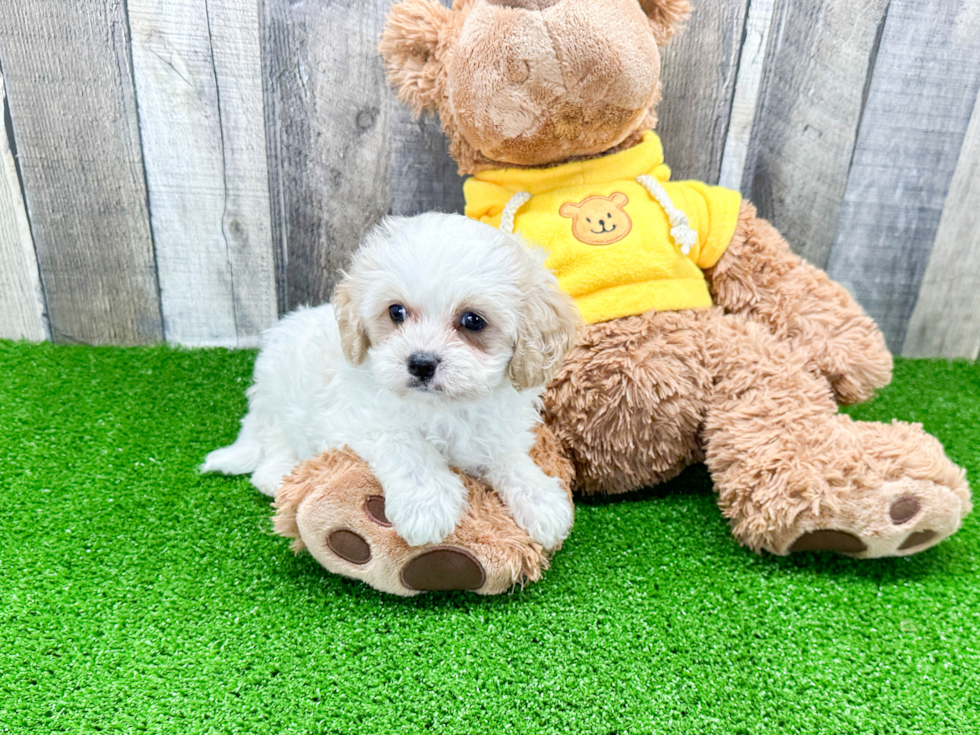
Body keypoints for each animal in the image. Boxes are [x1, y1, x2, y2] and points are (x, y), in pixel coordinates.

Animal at [201, 211, 580, 548]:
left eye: (473, 320)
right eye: (396, 311)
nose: (421, 363)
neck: (442, 408)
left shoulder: (495, 428)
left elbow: (507, 455)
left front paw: (539, 497)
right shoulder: (359, 418)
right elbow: (407, 446)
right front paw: (428, 503)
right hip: (279, 400)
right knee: (272, 449)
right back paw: (279, 474)